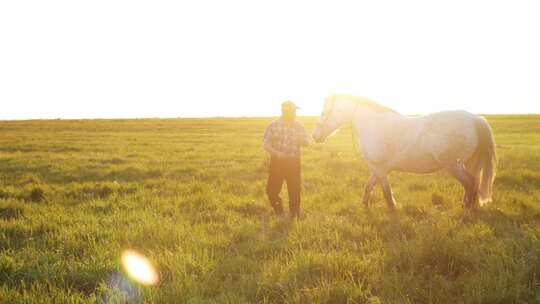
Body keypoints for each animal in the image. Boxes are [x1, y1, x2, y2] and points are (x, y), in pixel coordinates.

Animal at [310, 94, 496, 209]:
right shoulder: (378, 169)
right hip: (466, 164)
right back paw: (467, 205)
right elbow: (368, 187)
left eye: (324, 112)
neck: (373, 125)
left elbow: (385, 192)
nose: (314, 135)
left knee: (470, 183)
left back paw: (468, 209)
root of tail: (475, 119)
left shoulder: (379, 169)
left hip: (454, 166)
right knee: (473, 183)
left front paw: (392, 209)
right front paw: (364, 205)